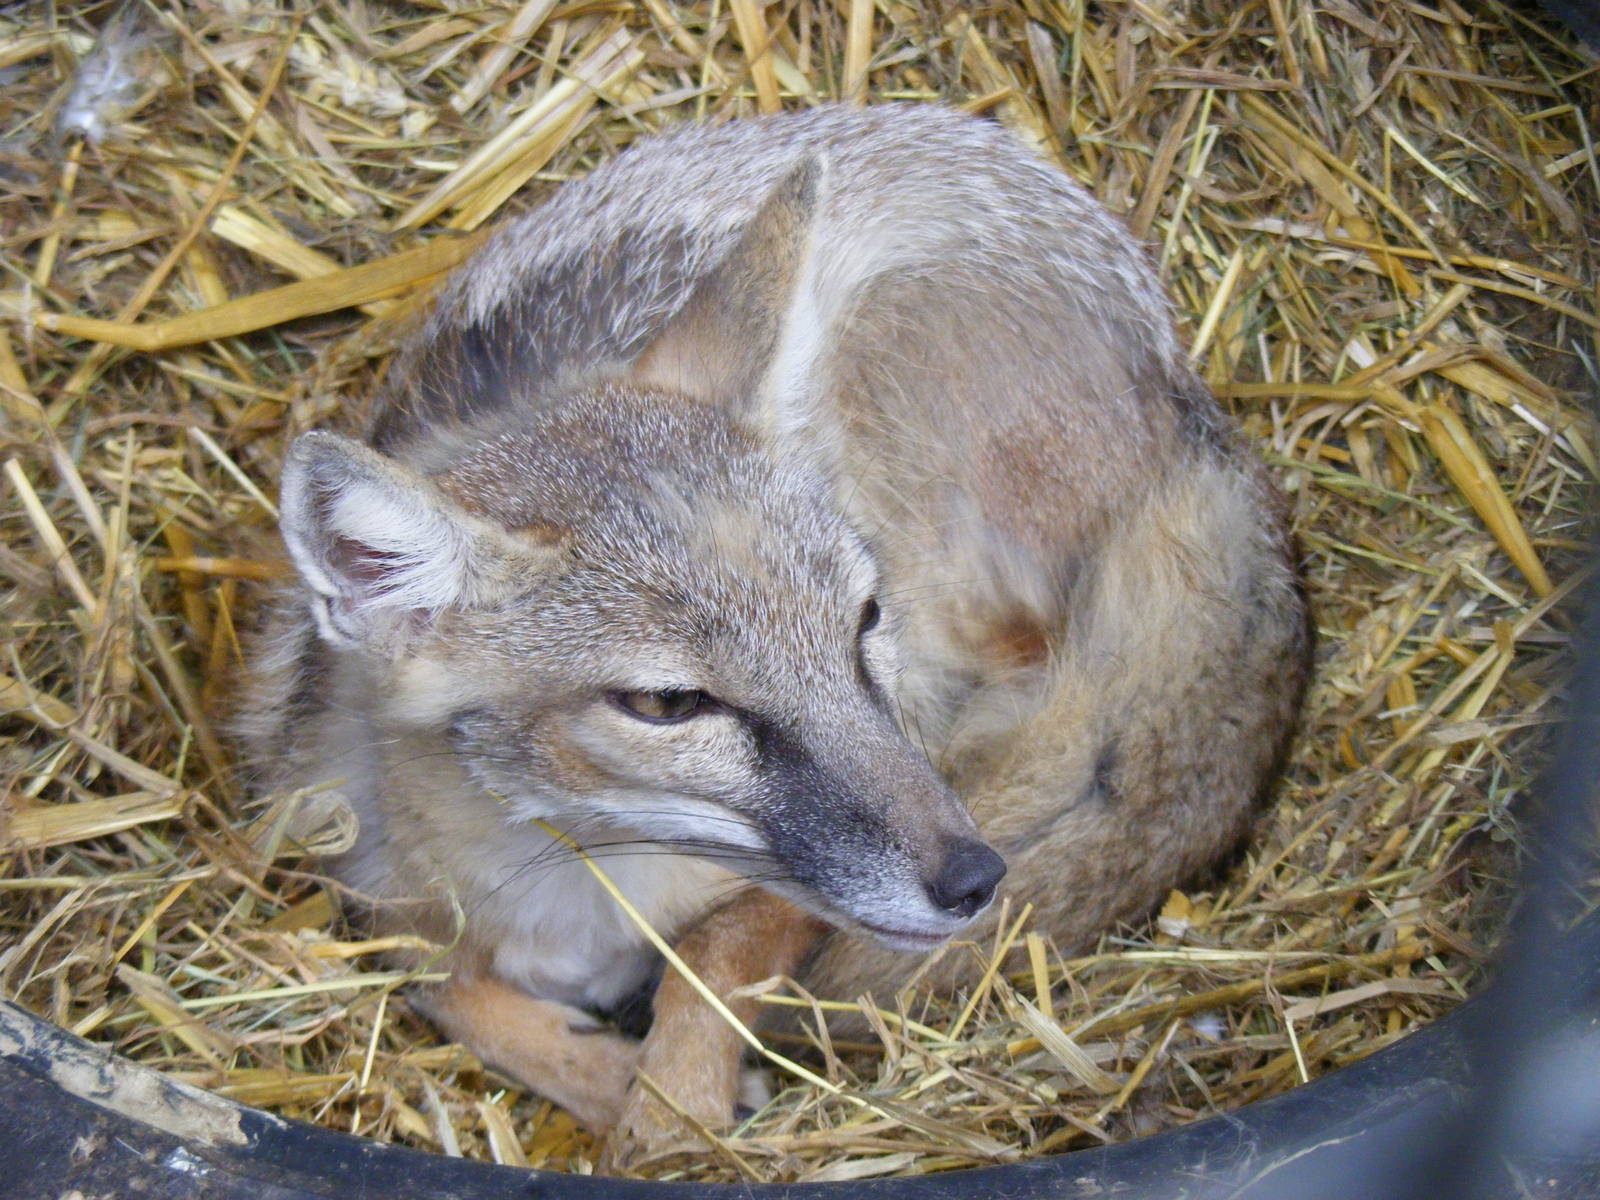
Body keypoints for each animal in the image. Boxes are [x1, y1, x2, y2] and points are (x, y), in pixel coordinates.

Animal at [240, 104, 1308, 1165]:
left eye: (863, 621)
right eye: (669, 704)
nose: (974, 880)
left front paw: (671, 1108)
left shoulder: (810, 854)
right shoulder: (371, 892)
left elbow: (718, 954)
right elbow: (446, 989)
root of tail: (1190, 396)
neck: (592, 885)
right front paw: (609, 1080)